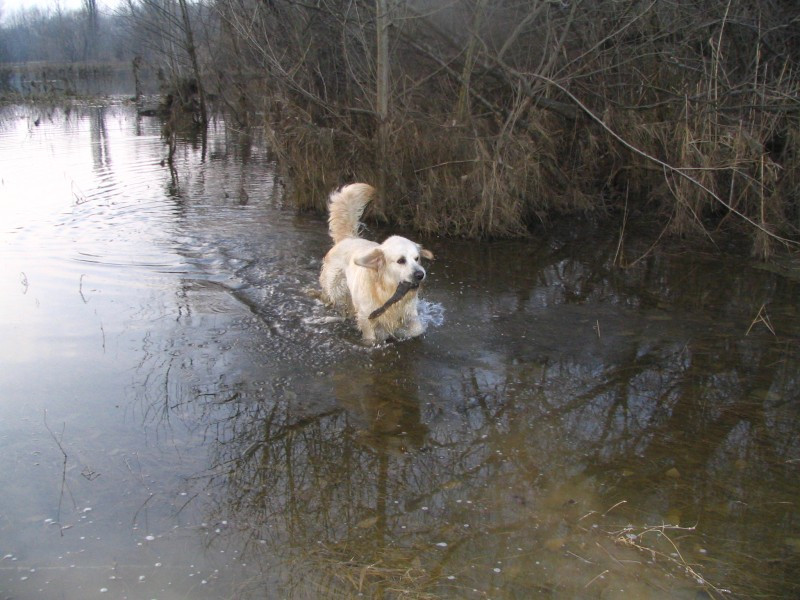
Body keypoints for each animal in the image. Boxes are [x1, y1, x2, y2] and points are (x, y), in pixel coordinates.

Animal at [318, 182, 434, 342]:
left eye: (417, 258)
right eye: (401, 260)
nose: (420, 274)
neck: (386, 289)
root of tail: (348, 238)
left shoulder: (409, 313)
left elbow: (417, 330)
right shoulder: (367, 317)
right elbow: (371, 338)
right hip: (336, 289)